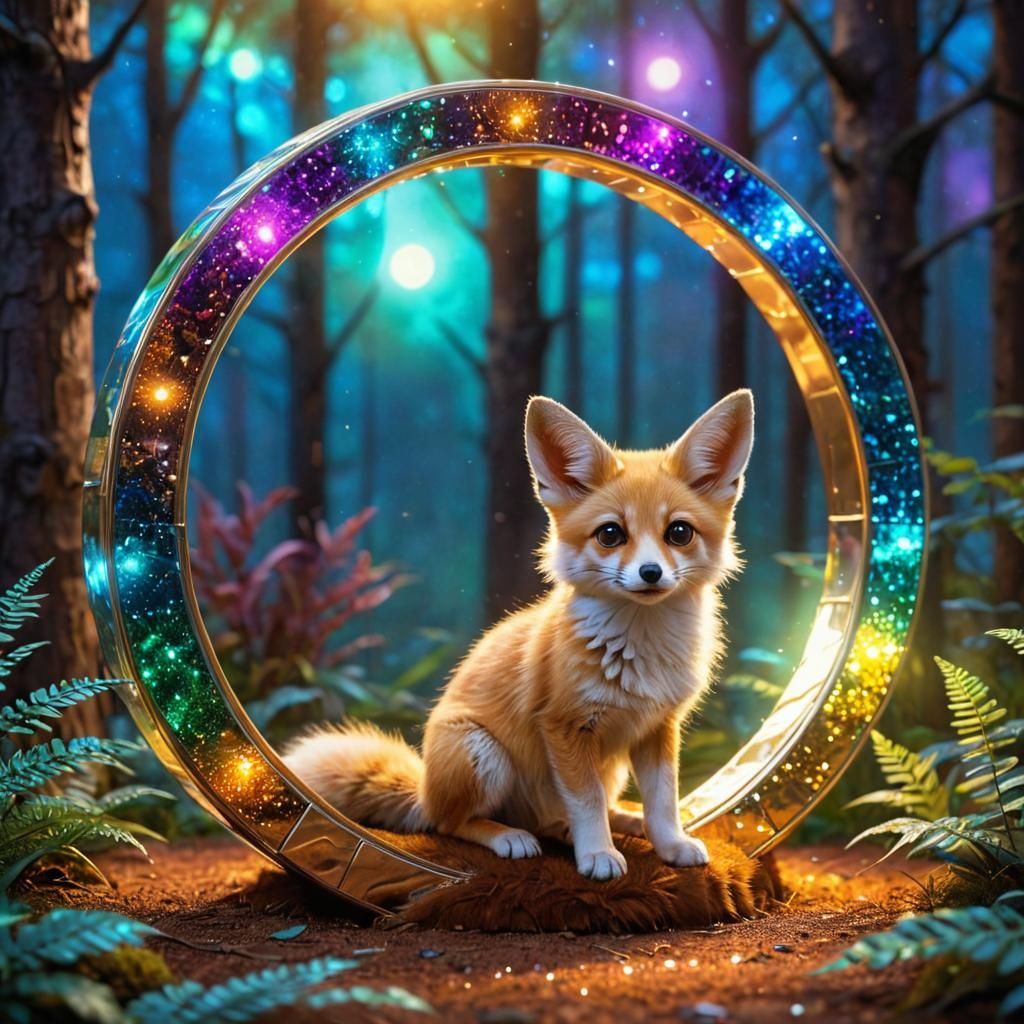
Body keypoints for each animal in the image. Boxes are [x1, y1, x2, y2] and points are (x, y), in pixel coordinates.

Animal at [285, 389, 754, 880]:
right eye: (611, 534)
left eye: (678, 532)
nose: (650, 573)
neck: (640, 649)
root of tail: (426, 789)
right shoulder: (564, 727)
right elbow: (586, 802)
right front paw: (598, 855)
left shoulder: (658, 726)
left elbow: (663, 803)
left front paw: (670, 845)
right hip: (483, 754)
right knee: (452, 824)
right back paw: (509, 836)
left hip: (609, 767)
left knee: (565, 815)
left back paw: (619, 819)